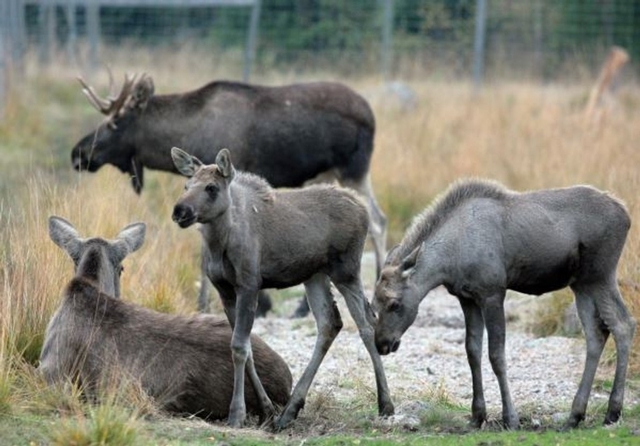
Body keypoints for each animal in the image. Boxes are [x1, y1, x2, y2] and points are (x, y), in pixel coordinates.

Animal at [71, 72, 390, 318]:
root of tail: (372, 115)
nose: (78, 153)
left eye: (114, 123)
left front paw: (216, 305)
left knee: (376, 220)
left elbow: (205, 254)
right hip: (329, 175)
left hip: (352, 169)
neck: (190, 132)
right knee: (376, 218)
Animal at [168, 146, 392, 428]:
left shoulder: (249, 285)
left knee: (366, 324)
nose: (180, 211)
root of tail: (361, 207)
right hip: (315, 275)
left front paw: (237, 413)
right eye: (186, 185)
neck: (220, 243)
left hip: (346, 270)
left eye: (211, 187)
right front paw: (266, 409)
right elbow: (246, 347)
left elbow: (239, 347)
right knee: (330, 323)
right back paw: (290, 410)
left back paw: (385, 403)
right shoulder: (225, 290)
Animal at [372, 179, 636, 430]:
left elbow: (496, 355)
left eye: (395, 303)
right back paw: (575, 416)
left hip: (600, 274)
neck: (447, 262)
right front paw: (477, 416)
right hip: (581, 284)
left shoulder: (493, 293)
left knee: (623, 324)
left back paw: (612, 412)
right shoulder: (467, 298)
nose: (382, 344)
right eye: (374, 303)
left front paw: (510, 418)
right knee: (596, 333)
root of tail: (626, 215)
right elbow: (472, 351)